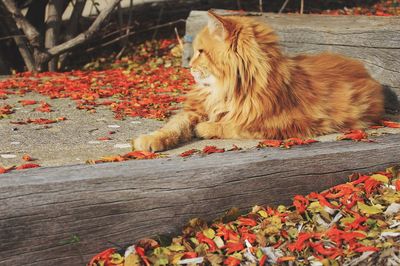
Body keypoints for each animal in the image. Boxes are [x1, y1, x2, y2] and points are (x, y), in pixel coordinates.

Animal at [133, 10, 386, 152]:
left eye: (201, 52)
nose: (190, 68)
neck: (228, 89)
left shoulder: (283, 123)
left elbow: (233, 125)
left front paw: (205, 128)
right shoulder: (196, 110)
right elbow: (173, 126)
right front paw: (150, 139)